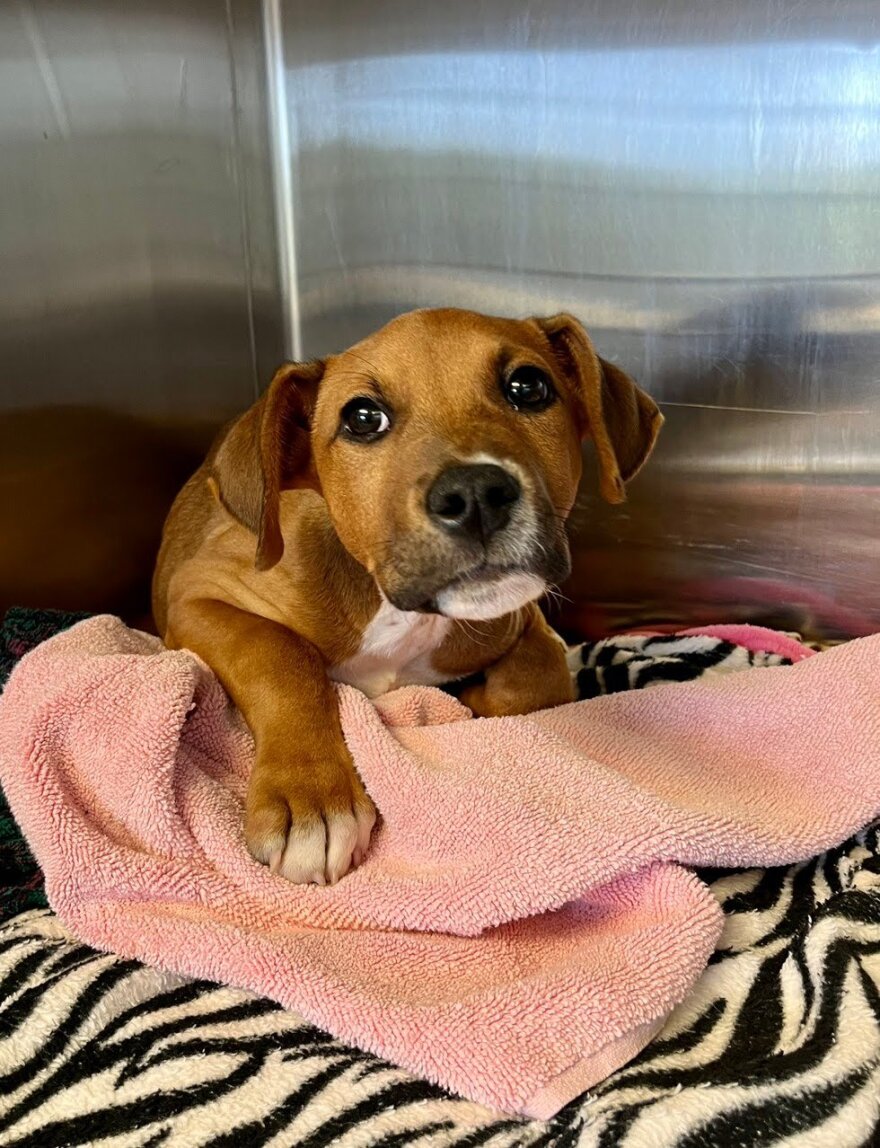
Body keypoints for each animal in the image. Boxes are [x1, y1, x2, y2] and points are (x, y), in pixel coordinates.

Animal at [151, 307, 660, 886]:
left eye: (529, 387)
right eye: (362, 418)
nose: (475, 495)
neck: (399, 614)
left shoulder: (525, 614)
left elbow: (539, 680)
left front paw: (474, 699)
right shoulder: (195, 594)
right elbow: (278, 655)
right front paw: (310, 797)